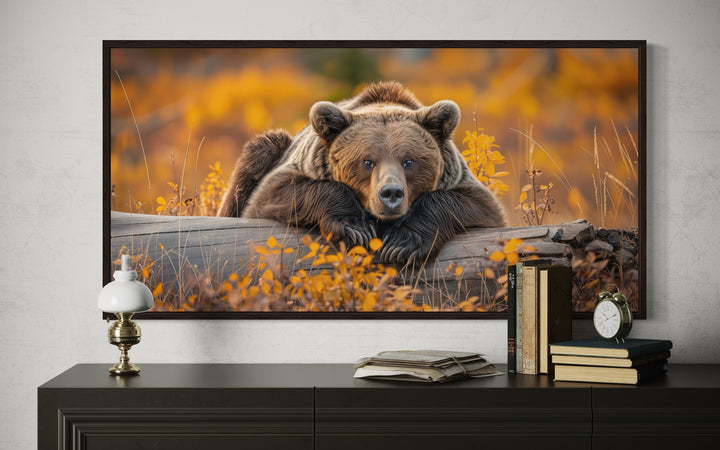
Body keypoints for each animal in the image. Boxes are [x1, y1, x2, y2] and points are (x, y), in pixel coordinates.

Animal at [218, 81, 506, 265]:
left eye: (408, 161)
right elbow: (271, 196)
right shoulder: (298, 168)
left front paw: (401, 243)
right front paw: (354, 229)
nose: (391, 194)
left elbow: (478, 205)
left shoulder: (460, 179)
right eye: (367, 161)